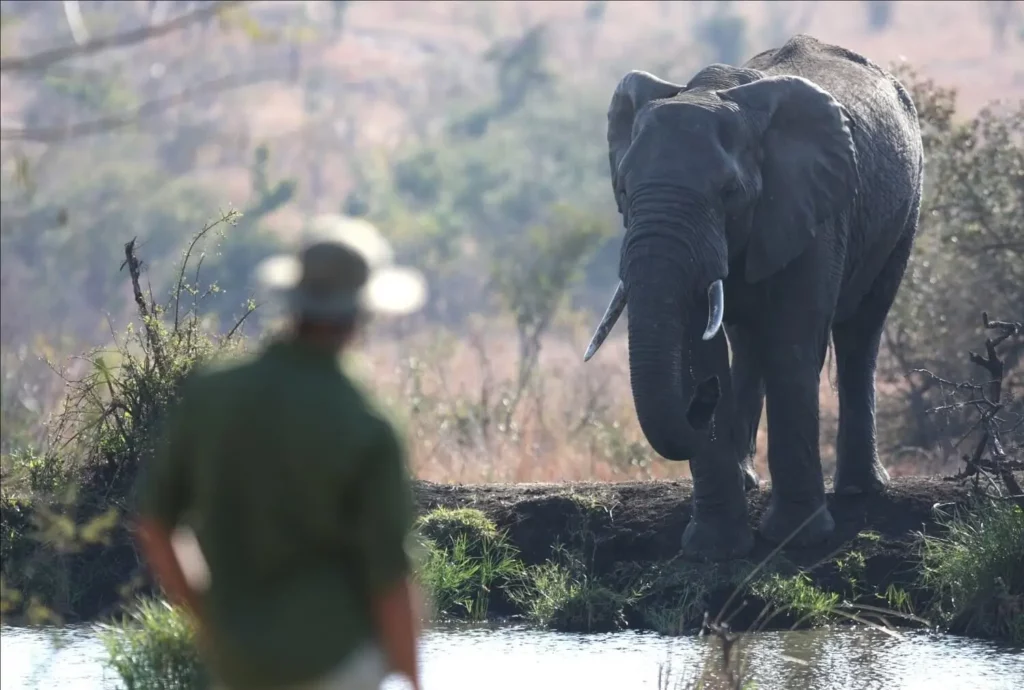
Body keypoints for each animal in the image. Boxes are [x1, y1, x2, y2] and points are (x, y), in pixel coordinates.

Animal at [583, 35, 924, 561]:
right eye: (622, 188)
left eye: (729, 192)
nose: (702, 404)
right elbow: (700, 352)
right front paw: (714, 550)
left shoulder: (813, 210)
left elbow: (791, 345)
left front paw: (797, 539)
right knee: (746, 344)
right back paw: (748, 479)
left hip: (905, 210)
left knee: (860, 331)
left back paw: (860, 490)